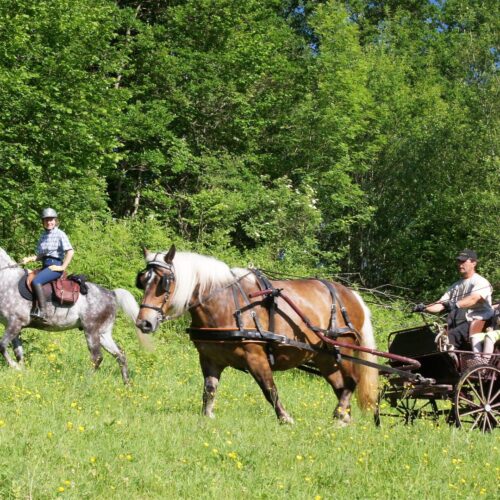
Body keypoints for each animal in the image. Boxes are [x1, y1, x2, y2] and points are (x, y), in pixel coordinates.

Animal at [0, 247, 141, 382]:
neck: (8, 281)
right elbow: (18, 352)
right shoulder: (13, 326)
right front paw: (22, 372)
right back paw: (127, 385)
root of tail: (112, 294)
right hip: (103, 333)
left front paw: (15, 367)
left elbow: (2, 346)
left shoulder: (15, 323)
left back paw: (85, 380)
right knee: (120, 355)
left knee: (97, 357)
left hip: (91, 331)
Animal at [135, 246, 376, 426]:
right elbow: (209, 390)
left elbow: (270, 390)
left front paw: (285, 418)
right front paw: (208, 416)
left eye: (163, 282)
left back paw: (340, 414)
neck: (225, 304)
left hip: (343, 348)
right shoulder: (209, 359)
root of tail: (351, 294)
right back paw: (344, 418)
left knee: (352, 381)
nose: (143, 322)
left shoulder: (255, 356)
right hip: (324, 356)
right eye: (142, 281)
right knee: (340, 386)